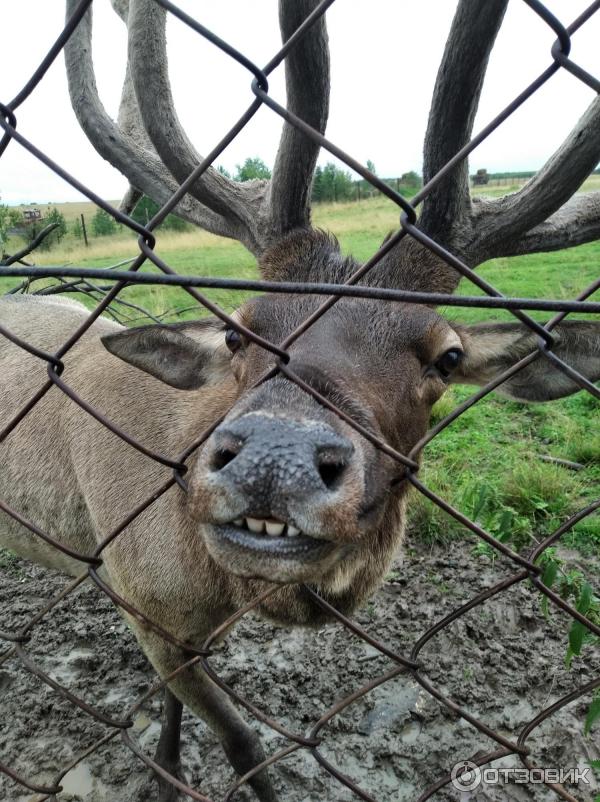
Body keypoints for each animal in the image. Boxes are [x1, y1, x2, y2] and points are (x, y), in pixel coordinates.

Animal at [1, 1, 600, 800]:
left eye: (447, 356)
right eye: (238, 331)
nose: (273, 459)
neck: (210, 585)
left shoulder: (186, 629)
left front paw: (167, 768)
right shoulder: (141, 604)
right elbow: (244, 741)